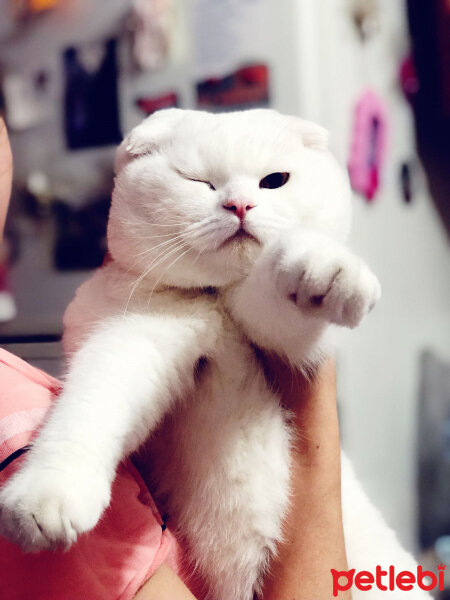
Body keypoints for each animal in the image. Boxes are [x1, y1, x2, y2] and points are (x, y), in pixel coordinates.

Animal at [0, 110, 430, 596]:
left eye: (274, 181)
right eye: (198, 181)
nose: (239, 205)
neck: (217, 304)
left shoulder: (283, 334)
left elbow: (280, 274)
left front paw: (327, 269)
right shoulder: (131, 342)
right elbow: (86, 413)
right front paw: (44, 497)